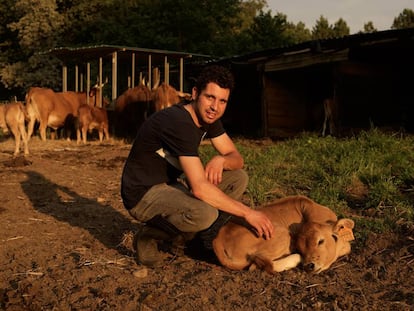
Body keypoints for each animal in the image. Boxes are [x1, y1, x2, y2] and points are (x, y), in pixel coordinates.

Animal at [212, 197, 354, 276]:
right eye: (301, 248)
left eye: (320, 241)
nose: (309, 265)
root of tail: (218, 239)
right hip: (282, 235)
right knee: (259, 265)